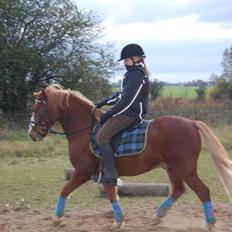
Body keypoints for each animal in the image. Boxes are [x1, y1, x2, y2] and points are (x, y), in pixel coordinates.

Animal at [28, 84, 232, 230]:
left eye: (37, 110)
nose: (32, 134)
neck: (84, 130)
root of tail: (191, 122)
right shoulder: (105, 174)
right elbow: (112, 195)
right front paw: (118, 221)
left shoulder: (83, 171)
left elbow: (65, 190)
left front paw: (56, 219)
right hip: (172, 167)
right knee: (178, 190)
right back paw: (157, 216)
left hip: (185, 168)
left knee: (203, 191)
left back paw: (209, 223)